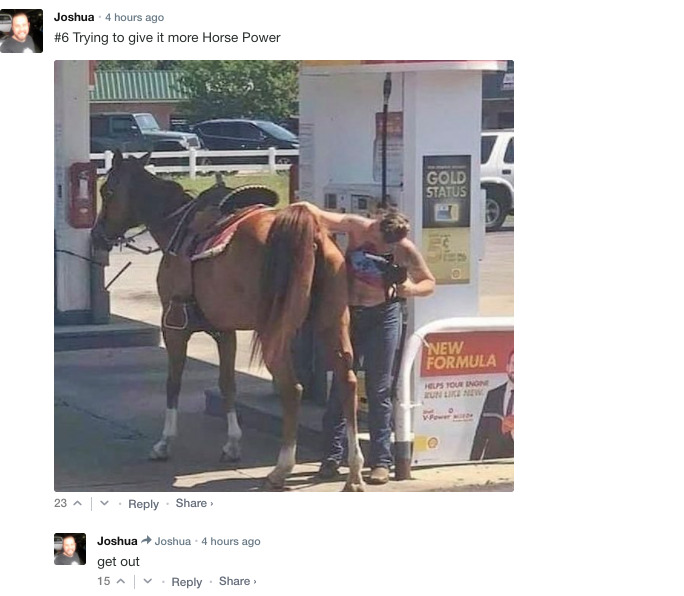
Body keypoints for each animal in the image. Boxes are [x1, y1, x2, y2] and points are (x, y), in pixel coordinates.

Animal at [91, 150, 365, 491]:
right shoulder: (226, 331)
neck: (177, 228)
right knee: (347, 381)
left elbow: (173, 382)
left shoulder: (173, 326)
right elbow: (227, 383)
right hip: (332, 323)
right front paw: (233, 443)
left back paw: (281, 468)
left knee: (292, 389)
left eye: (107, 191)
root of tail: (309, 232)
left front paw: (164, 443)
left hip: (275, 332)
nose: (97, 236)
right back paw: (354, 470)